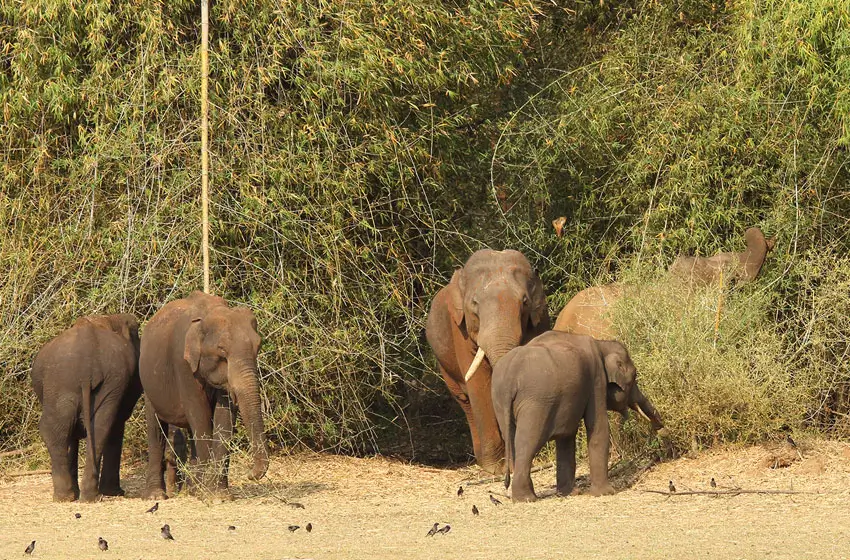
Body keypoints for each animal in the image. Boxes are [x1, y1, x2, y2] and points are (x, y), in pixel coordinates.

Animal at [30, 314, 142, 502]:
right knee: (97, 427)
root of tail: (87, 365)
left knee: (61, 429)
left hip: (65, 381)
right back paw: (82, 496)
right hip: (79, 380)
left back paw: (71, 497)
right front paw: (115, 493)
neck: (107, 319)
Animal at [139, 291, 268, 499]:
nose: (250, 474)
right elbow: (200, 415)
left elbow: (224, 419)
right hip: (148, 383)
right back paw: (156, 495)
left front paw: (219, 495)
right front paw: (210, 494)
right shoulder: (183, 365)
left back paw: (194, 490)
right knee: (156, 429)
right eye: (222, 352)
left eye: (258, 347)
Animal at [425, 249, 549, 474]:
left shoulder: (540, 320)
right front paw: (496, 469)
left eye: (525, 302)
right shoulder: (460, 330)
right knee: (466, 402)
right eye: (474, 303)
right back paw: (483, 462)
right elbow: (479, 383)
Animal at [491, 331, 637, 502]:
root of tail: (510, 378)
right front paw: (606, 493)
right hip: (536, 403)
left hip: (499, 402)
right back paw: (527, 499)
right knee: (527, 442)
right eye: (635, 376)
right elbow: (598, 427)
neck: (601, 344)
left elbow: (566, 436)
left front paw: (569, 493)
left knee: (513, 440)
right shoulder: (596, 379)